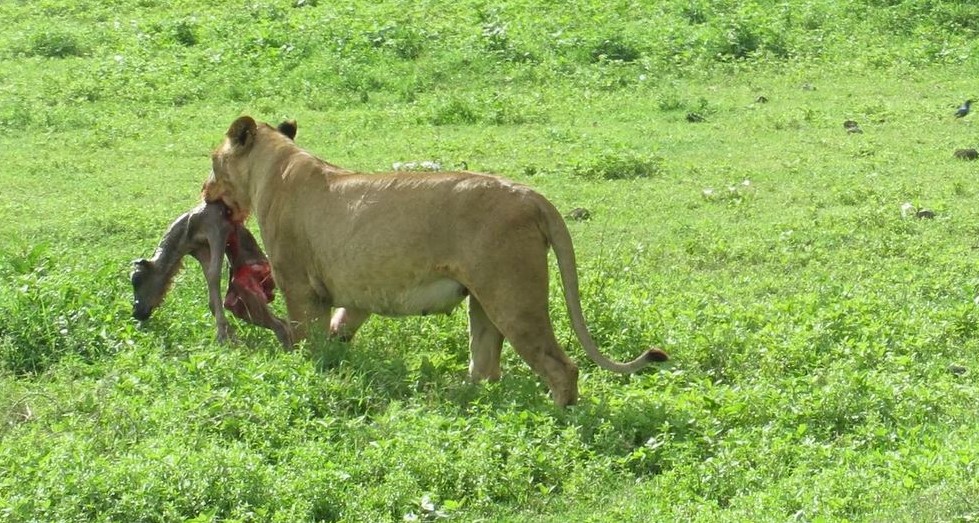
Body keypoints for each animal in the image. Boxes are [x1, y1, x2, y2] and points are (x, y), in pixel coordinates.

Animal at [202, 116, 668, 406]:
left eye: (212, 161)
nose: (204, 189)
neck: (276, 166)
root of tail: (532, 196)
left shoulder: (300, 285)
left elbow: (306, 342)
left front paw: (307, 373)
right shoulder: (353, 294)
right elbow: (340, 329)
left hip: (513, 296)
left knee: (561, 367)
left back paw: (561, 421)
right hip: (484, 303)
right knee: (485, 367)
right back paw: (463, 401)